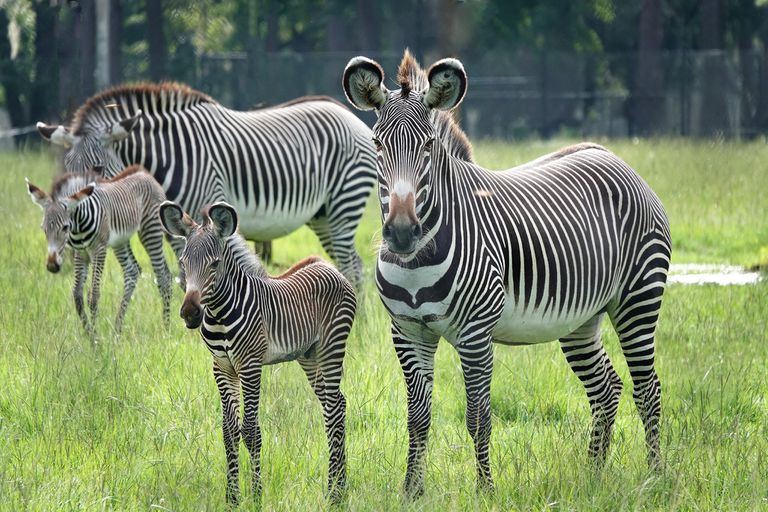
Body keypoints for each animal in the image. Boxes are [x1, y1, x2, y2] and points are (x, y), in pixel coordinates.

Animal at [27, 165, 172, 336]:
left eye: (65, 227)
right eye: (43, 229)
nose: (52, 266)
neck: (78, 225)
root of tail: (145, 173)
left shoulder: (99, 250)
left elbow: (94, 296)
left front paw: (96, 338)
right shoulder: (81, 253)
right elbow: (77, 296)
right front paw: (90, 335)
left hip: (151, 230)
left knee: (164, 278)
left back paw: (166, 329)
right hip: (120, 241)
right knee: (132, 271)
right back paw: (117, 331)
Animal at [36, 82, 378, 286]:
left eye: (98, 169)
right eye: (67, 169)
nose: (79, 225)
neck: (171, 155)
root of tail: (346, 112)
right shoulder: (175, 223)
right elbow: (179, 273)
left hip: (345, 202)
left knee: (354, 266)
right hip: (322, 216)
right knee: (350, 265)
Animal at [160, 200, 358, 504]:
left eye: (215, 264)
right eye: (183, 263)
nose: (190, 314)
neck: (219, 314)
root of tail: (328, 266)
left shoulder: (250, 365)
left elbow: (251, 431)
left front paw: (255, 496)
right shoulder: (221, 367)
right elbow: (229, 431)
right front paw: (232, 497)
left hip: (332, 347)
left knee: (335, 409)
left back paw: (335, 492)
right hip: (309, 355)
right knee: (335, 404)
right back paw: (339, 485)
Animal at [344, 53, 672, 496]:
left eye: (428, 146)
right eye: (377, 144)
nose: (400, 232)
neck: (416, 264)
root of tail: (615, 158)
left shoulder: (476, 336)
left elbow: (478, 418)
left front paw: (485, 489)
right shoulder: (409, 333)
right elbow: (417, 418)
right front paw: (411, 491)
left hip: (638, 299)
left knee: (647, 389)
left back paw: (655, 476)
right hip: (581, 320)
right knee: (607, 388)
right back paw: (593, 475)